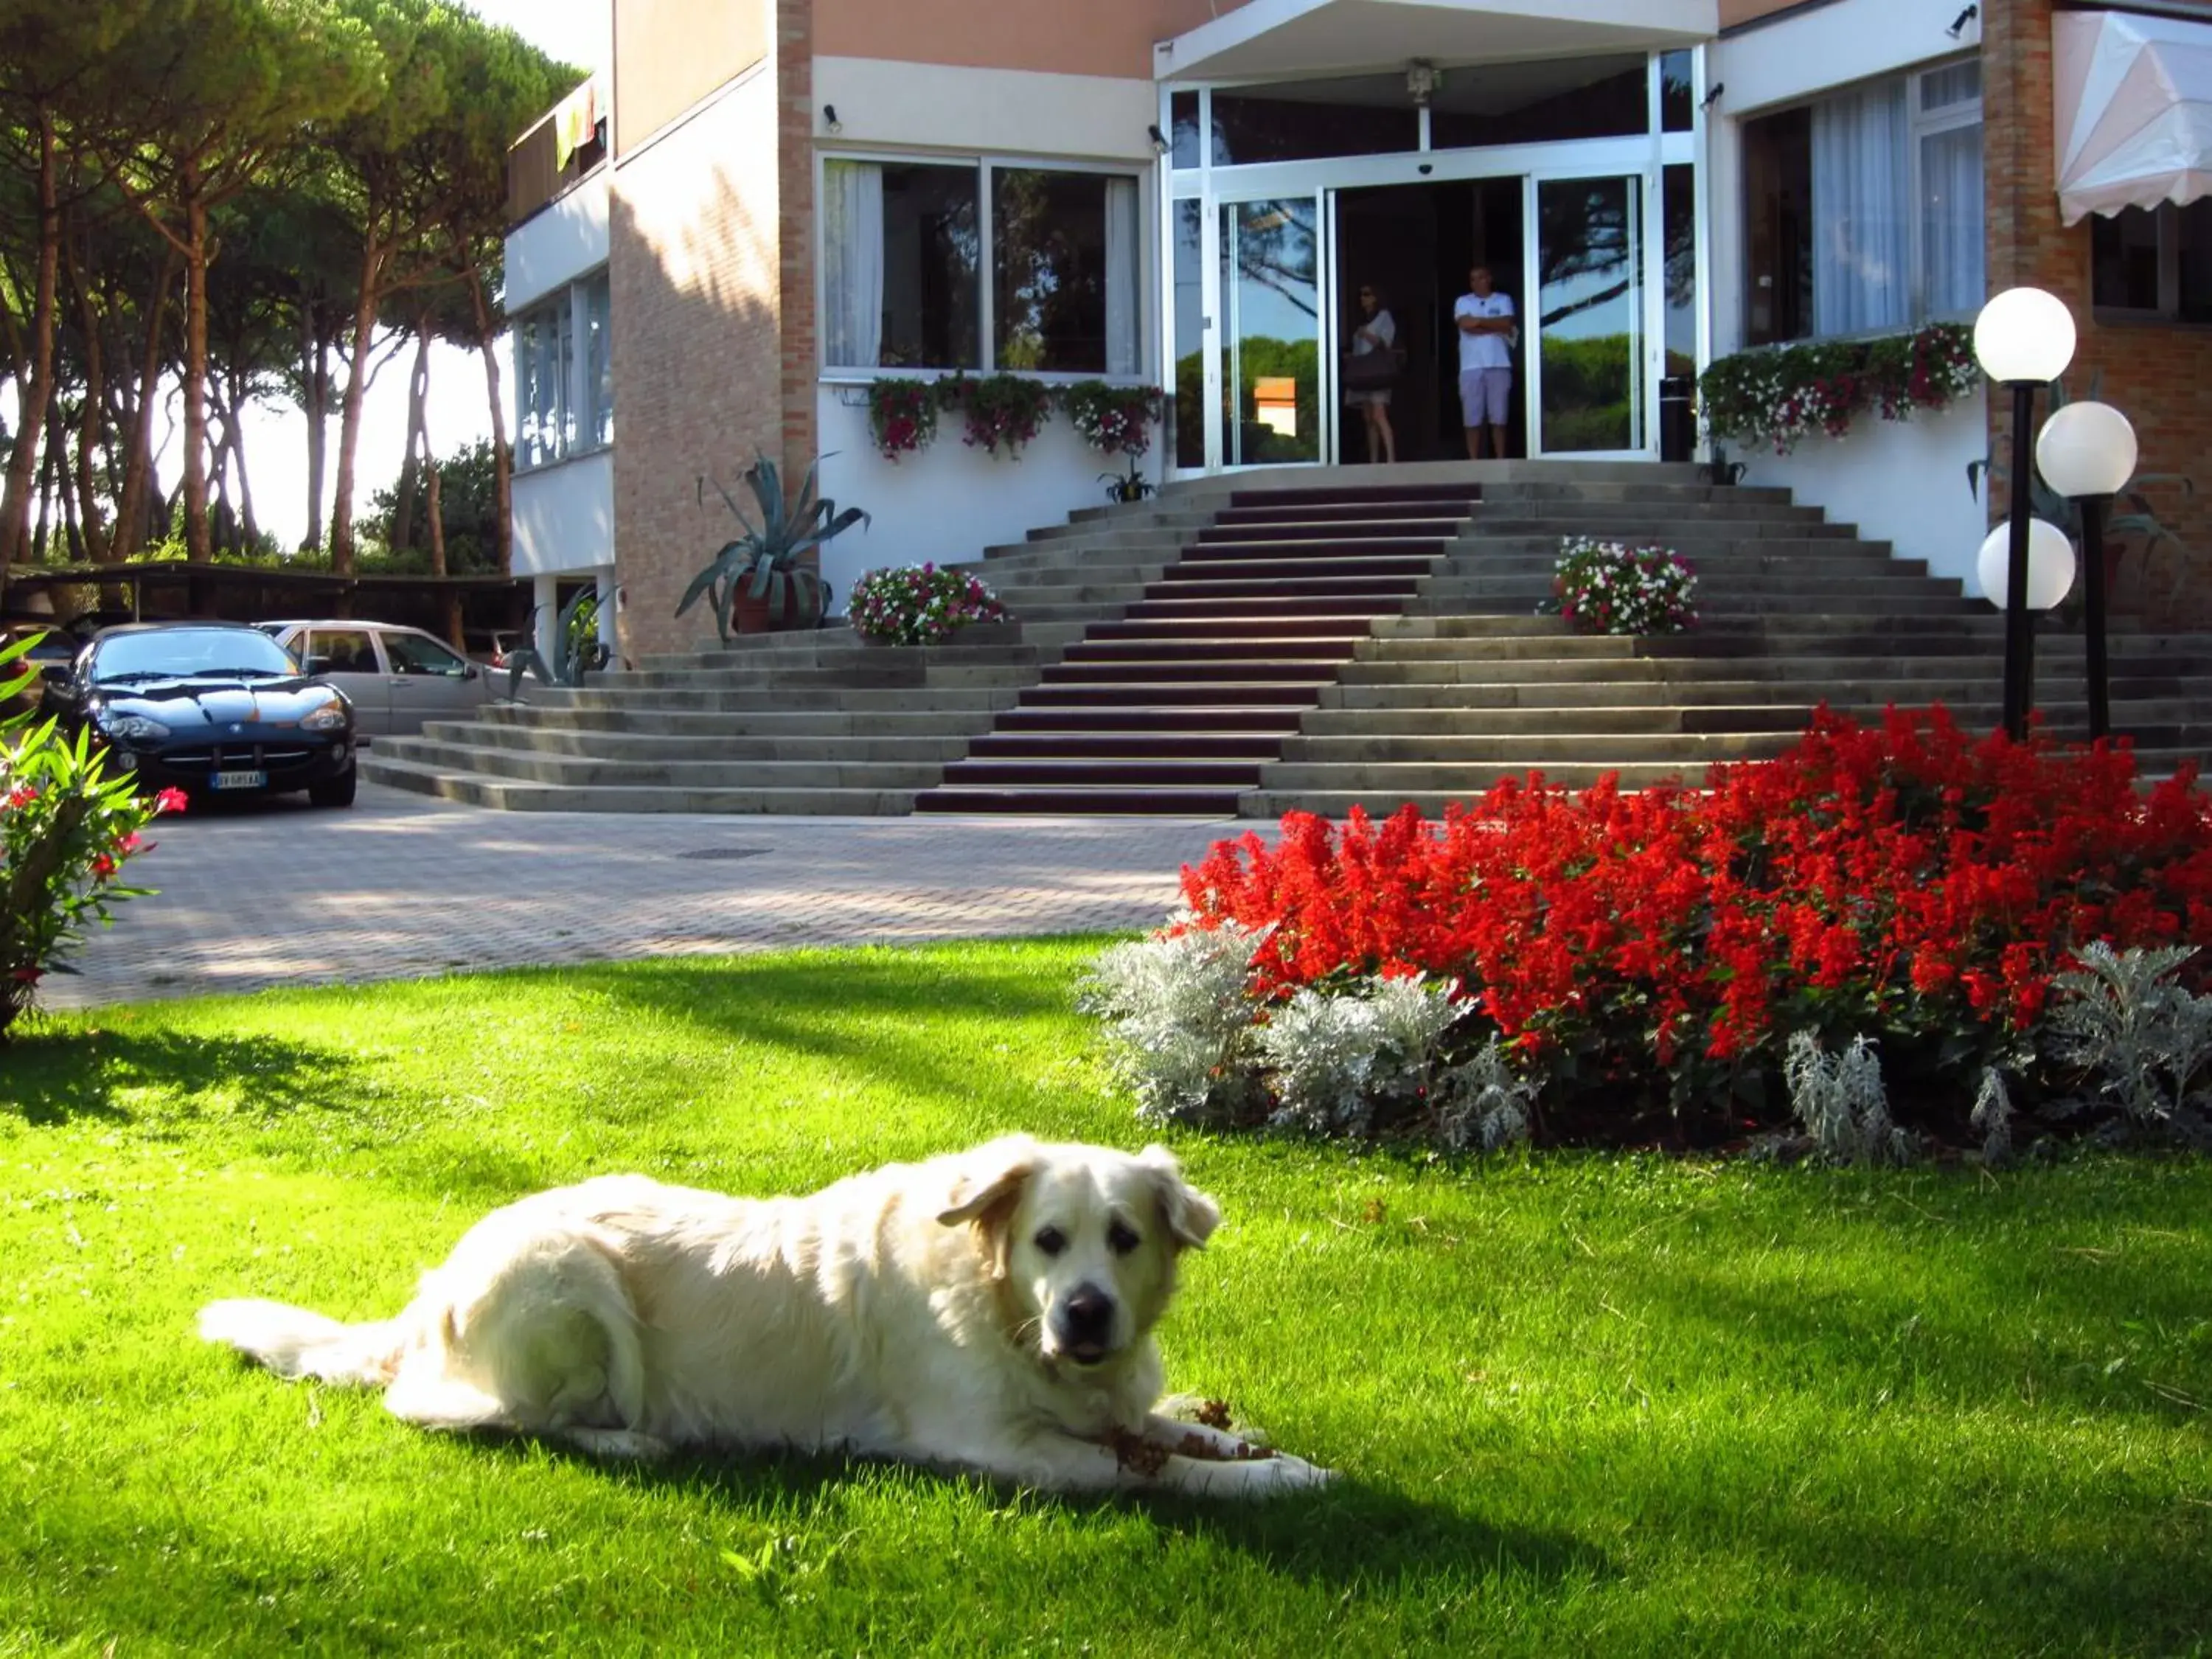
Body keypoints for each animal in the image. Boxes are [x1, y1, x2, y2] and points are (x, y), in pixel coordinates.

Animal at [199, 1141, 1327, 1504]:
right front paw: (1272, 1480)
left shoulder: (1100, 1400)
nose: (1087, 1314)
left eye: (1124, 1238)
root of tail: (440, 1277)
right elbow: (1161, 1472)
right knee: (480, 1417)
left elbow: (1166, 1429)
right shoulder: (1001, 1449)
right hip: (566, 1281)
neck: (1005, 1310)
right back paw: (636, 1441)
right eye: (1048, 1240)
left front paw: (1251, 1441)